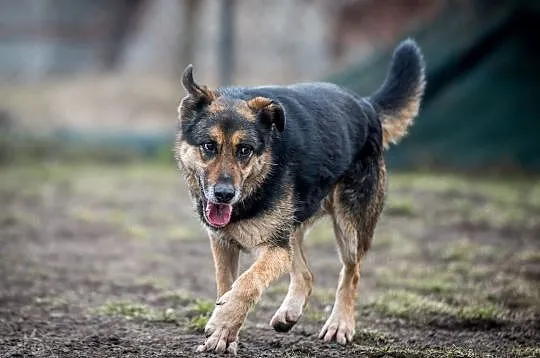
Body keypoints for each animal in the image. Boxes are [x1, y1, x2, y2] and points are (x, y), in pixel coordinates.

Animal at [175, 38, 424, 352]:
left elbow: (246, 283)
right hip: (293, 227)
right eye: (209, 146)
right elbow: (226, 285)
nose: (223, 195)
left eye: (244, 150)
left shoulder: (276, 248)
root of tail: (366, 105)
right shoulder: (223, 243)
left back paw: (340, 324)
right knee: (307, 274)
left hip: (348, 228)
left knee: (351, 272)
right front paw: (225, 334)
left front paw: (222, 324)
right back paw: (289, 313)